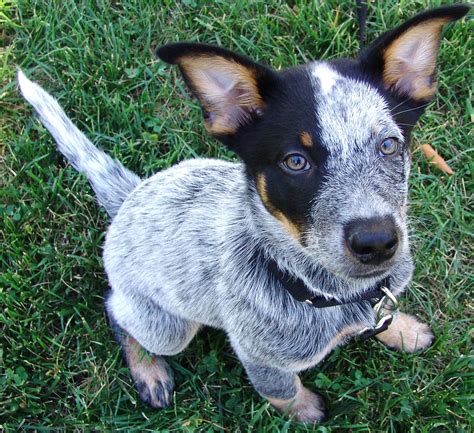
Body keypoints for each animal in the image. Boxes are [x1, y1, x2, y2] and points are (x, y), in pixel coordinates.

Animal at [18, 3, 470, 422]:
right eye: (295, 161)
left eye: (389, 145)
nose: (376, 241)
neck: (320, 288)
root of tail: (129, 195)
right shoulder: (260, 356)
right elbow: (282, 390)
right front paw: (304, 410)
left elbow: (385, 315)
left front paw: (405, 331)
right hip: (168, 328)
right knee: (118, 312)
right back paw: (149, 371)